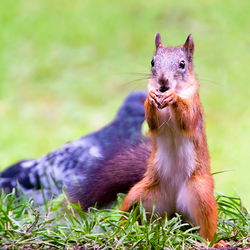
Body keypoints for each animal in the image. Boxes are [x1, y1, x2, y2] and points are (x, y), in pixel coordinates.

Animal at [120, 33, 217, 242]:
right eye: (152, 62)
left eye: (182, 64)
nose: (163, 81)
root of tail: (173, 207)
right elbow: (153, 123)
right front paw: (151, 98)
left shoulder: (194, 104)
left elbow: (187, 120)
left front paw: (174, 98)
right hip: (140, 193)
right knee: (128, 211)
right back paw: (123, 230)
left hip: (200, 193)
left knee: (207, 225)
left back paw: (212, 242)